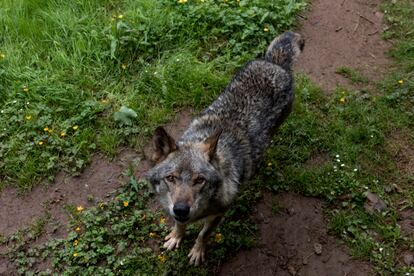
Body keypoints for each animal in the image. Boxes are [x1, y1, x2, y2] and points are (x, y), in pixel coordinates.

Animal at [145, 30, 304, 266]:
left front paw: (197, 252)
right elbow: (180, 225)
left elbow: (203, 234)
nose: (181, 209)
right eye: (171, 178)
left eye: (199, 180)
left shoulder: (219, 214)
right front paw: (176, 237)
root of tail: (274, 62)